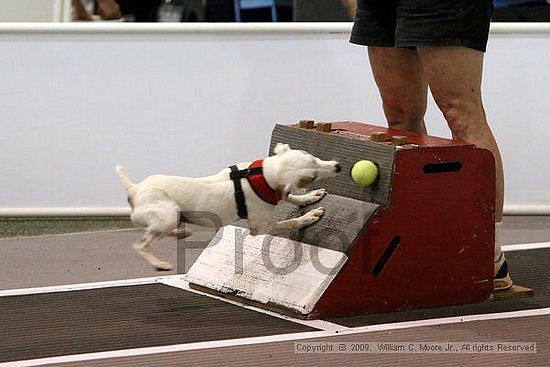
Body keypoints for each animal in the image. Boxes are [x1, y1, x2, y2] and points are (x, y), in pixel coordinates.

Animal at [116, 142, 340, 272]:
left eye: (312, 157)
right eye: (311, 177)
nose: (338, 166)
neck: (262, 175)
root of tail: (134, 189)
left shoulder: (280, 192)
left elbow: (291, 197)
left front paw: (310, 198)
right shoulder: (260, 227)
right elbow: (290, 222)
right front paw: (309, 217)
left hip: (172, 216)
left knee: (157, 230)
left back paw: (182, 232)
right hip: (167, 214)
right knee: (142, 245)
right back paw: (158, 263)